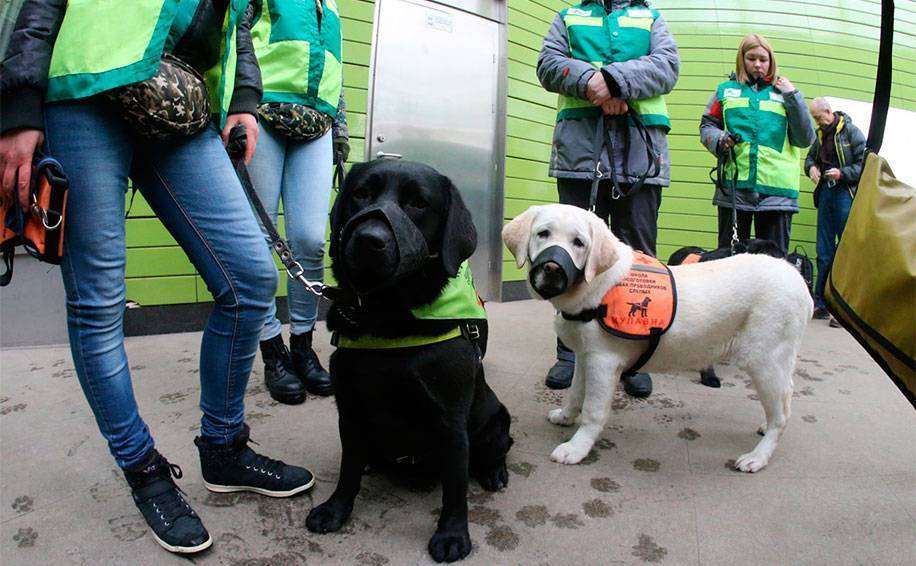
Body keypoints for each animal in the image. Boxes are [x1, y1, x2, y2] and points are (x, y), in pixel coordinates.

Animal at [305, 159, 512, 563]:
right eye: (361, 193)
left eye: (419, 203)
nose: (368, 239)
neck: (387, 318)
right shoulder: (350, 412)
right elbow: (348, 470)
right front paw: (335, 510)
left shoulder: (451, 421)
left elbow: (455, 488)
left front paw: (452, 535)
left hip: (497, 424)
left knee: (494, 453)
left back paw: (494, 473)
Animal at [502, 204, 812, 473]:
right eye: (543, 234)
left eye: (578, 242)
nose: (553, 269)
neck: (598, 288)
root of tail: (796, 277)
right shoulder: (583, 355)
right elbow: (576, 393)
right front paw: (566, 417)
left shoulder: (603, 362)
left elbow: (592, 411)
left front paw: (576, 448)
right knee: (783, 402)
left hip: (765, 362)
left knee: (782, 415)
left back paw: (757, 456)